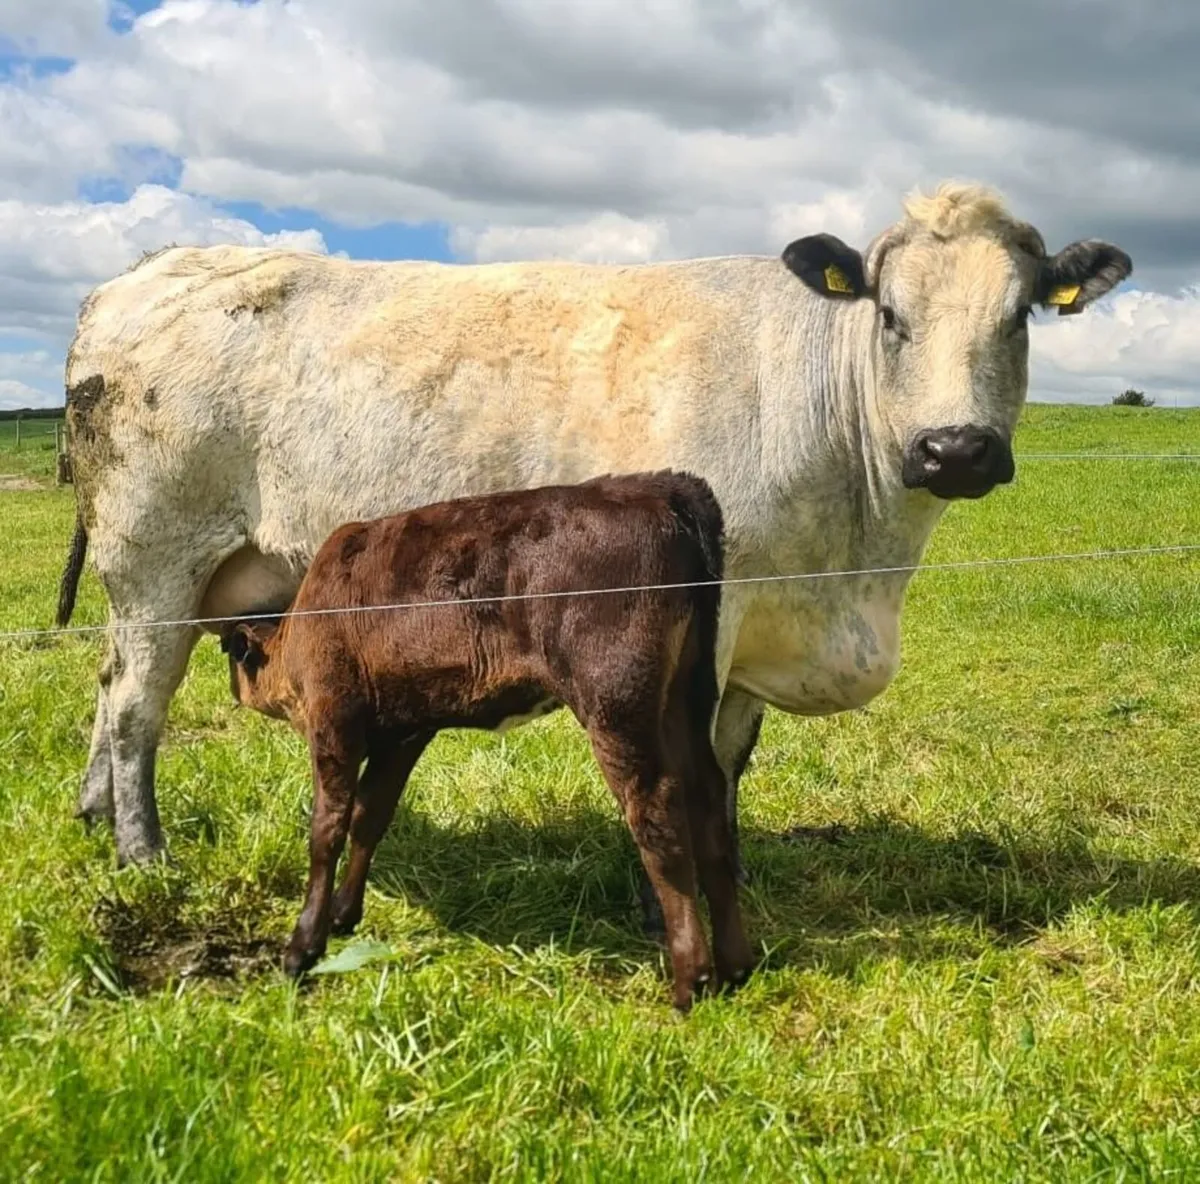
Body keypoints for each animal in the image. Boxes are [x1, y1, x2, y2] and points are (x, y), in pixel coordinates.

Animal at [55, 180, 1131, 927]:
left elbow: (730, 761)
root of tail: (147, 269)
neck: (847, 573)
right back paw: (142, 855)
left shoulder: (759, 619)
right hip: (153, 555)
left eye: (1020, 315)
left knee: (108, 687)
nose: (956, 449)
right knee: (138, 704)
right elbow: (684, 760)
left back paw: (92, 816)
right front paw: (671, 899)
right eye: (892, 315)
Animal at [218, 470, 751, 1009]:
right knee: (707, 797)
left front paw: (304, 946)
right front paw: (346, 913)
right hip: (686, 694)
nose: (235, 689)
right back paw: (735, 965)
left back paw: (691, 980)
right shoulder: (404, 733)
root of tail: (658, 488)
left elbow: (327, 830)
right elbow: (371, 816)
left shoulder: (335, 721)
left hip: (616, 702)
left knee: (658, 812)